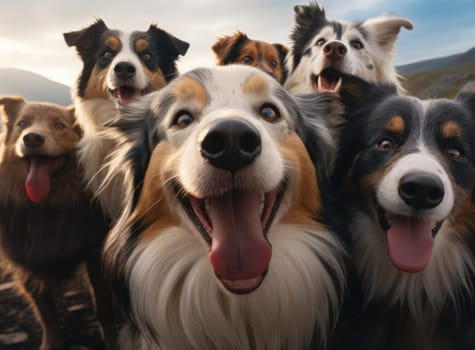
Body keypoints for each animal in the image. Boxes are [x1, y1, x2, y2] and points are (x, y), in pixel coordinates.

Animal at [0, 96, 117, 350]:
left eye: (59, 126)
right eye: (22, 124)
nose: (32, 138)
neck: (45, 207)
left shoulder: (94, 254)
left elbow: (103, 306)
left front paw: (113, 340)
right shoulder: (28, 262)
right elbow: (47, 314)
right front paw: (51, 343)